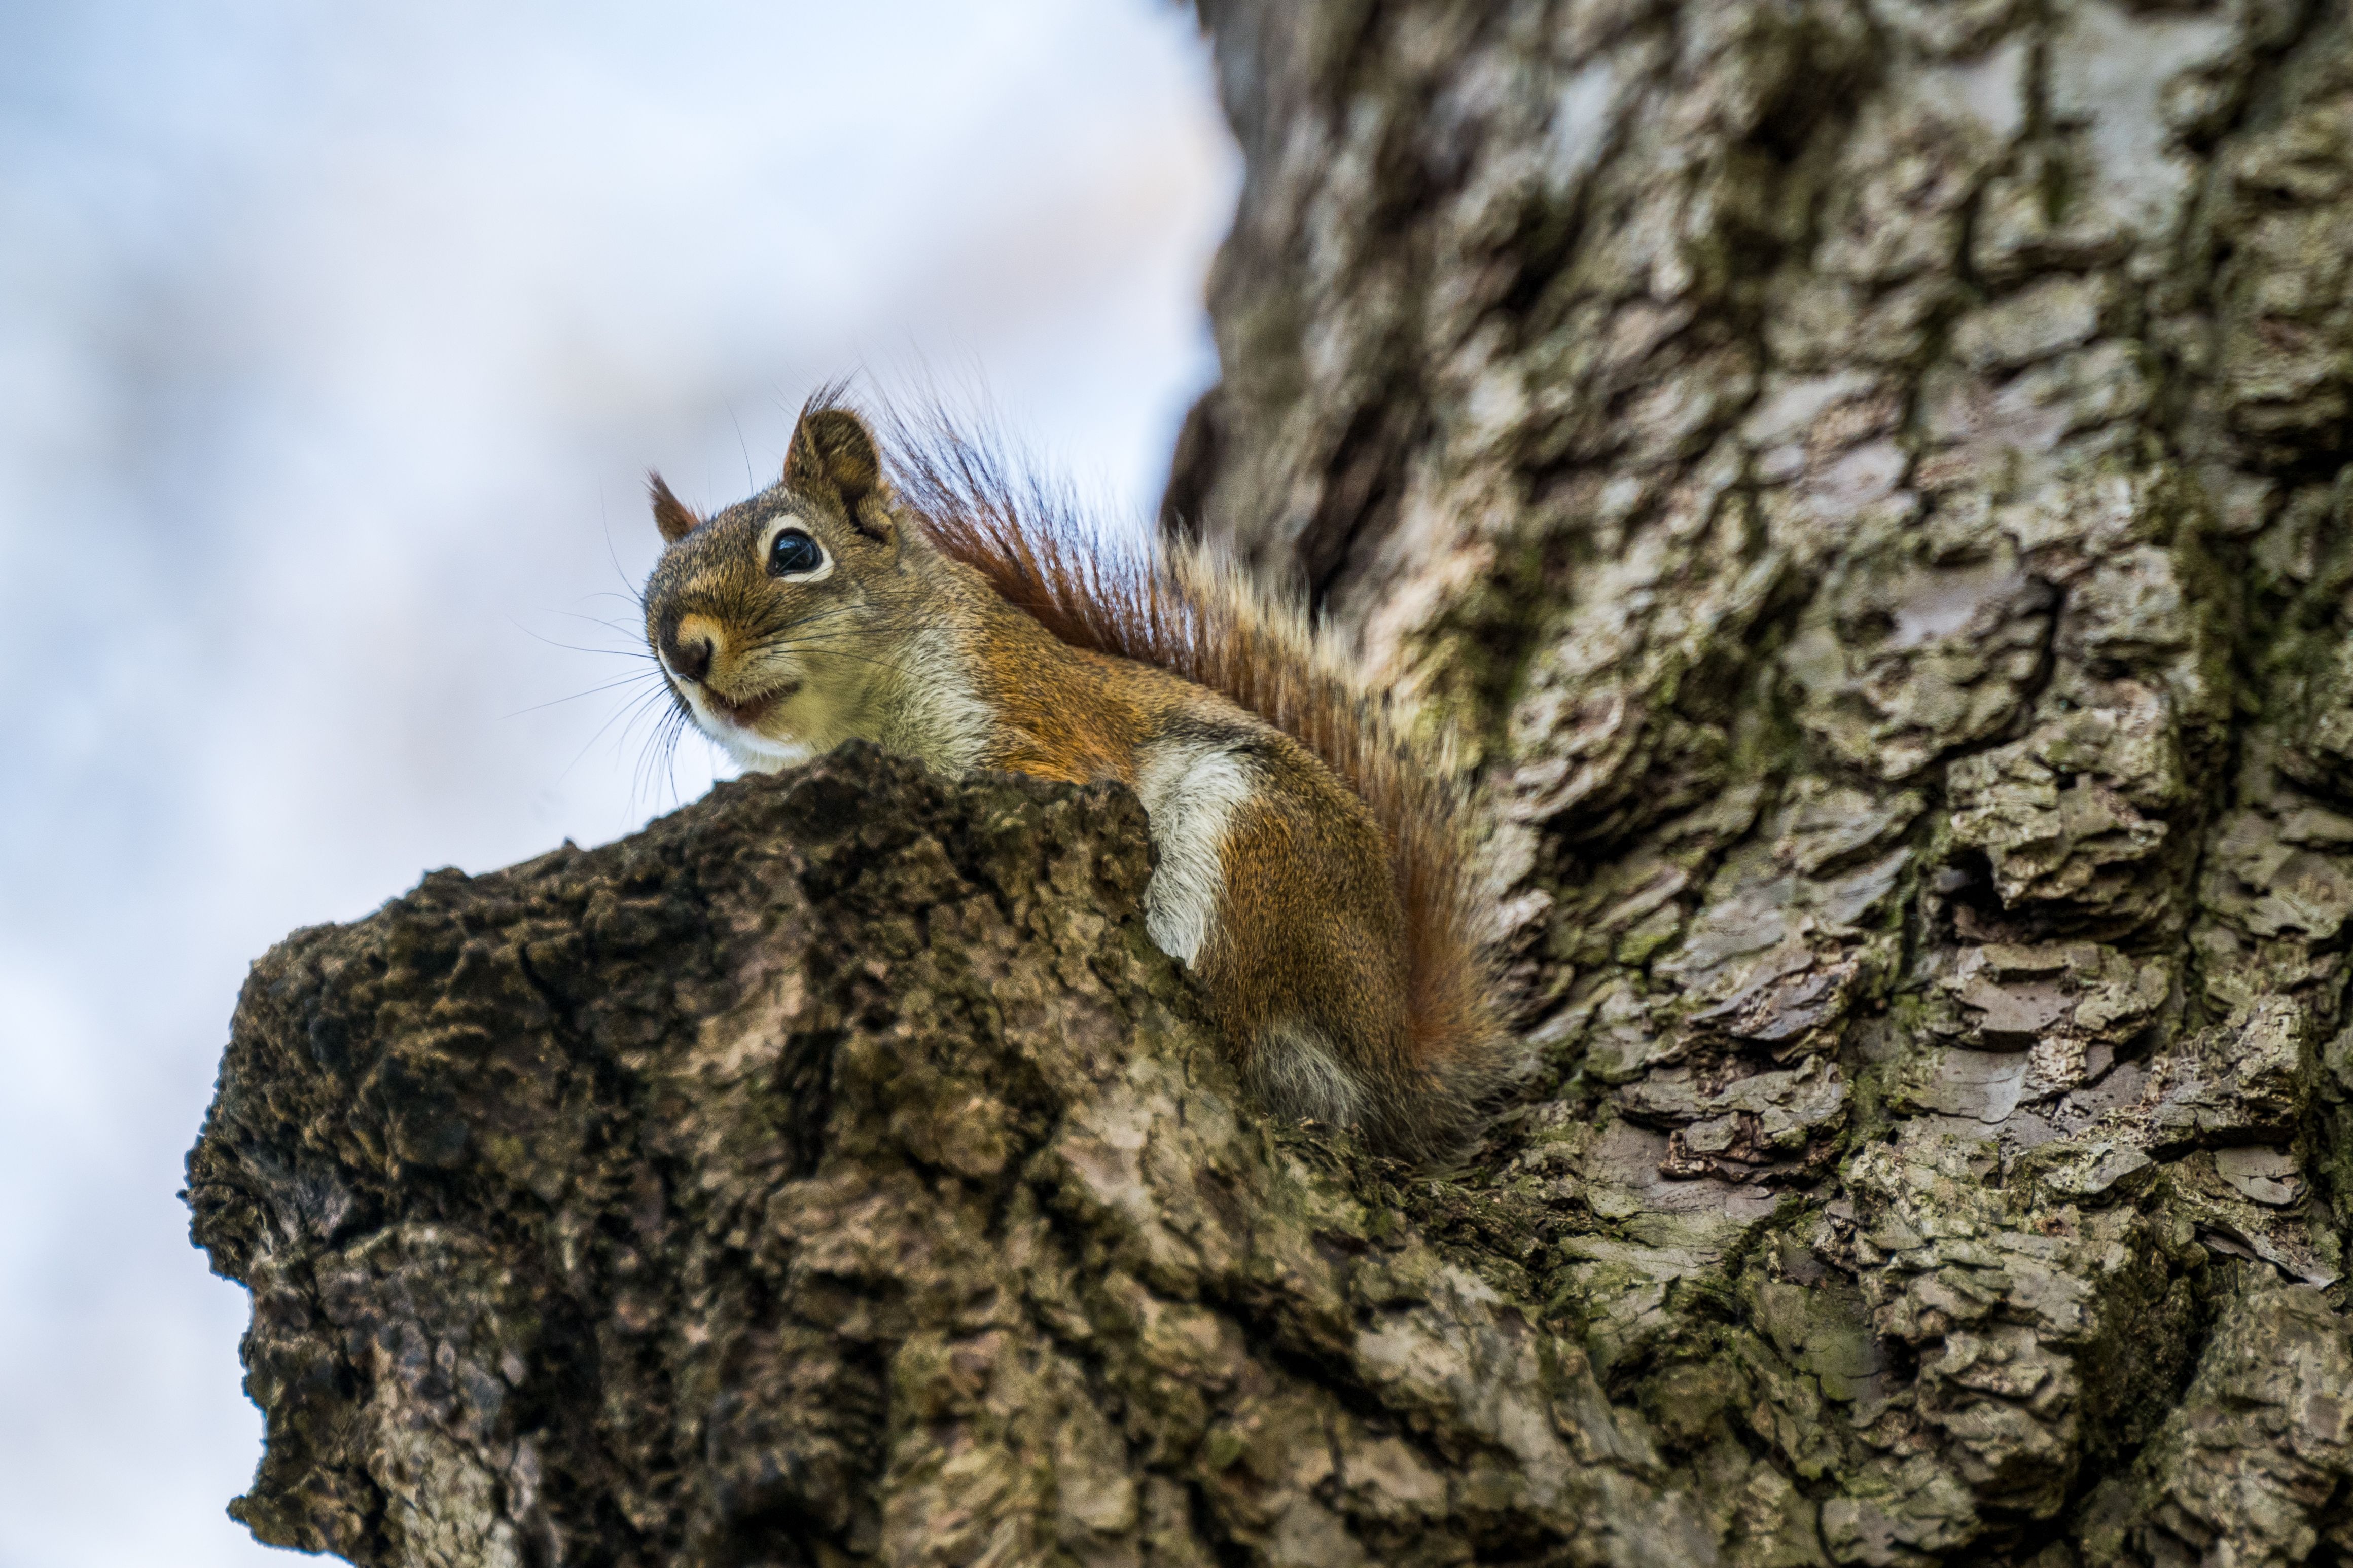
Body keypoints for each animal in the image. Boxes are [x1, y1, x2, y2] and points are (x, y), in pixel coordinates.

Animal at [639, 394, 1512, 1161]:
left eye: (795, 552)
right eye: (649, 602)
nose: (685, 652)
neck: (854, 724)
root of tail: (1392, 1045)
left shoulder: (1031, 720)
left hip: (1255, 846)